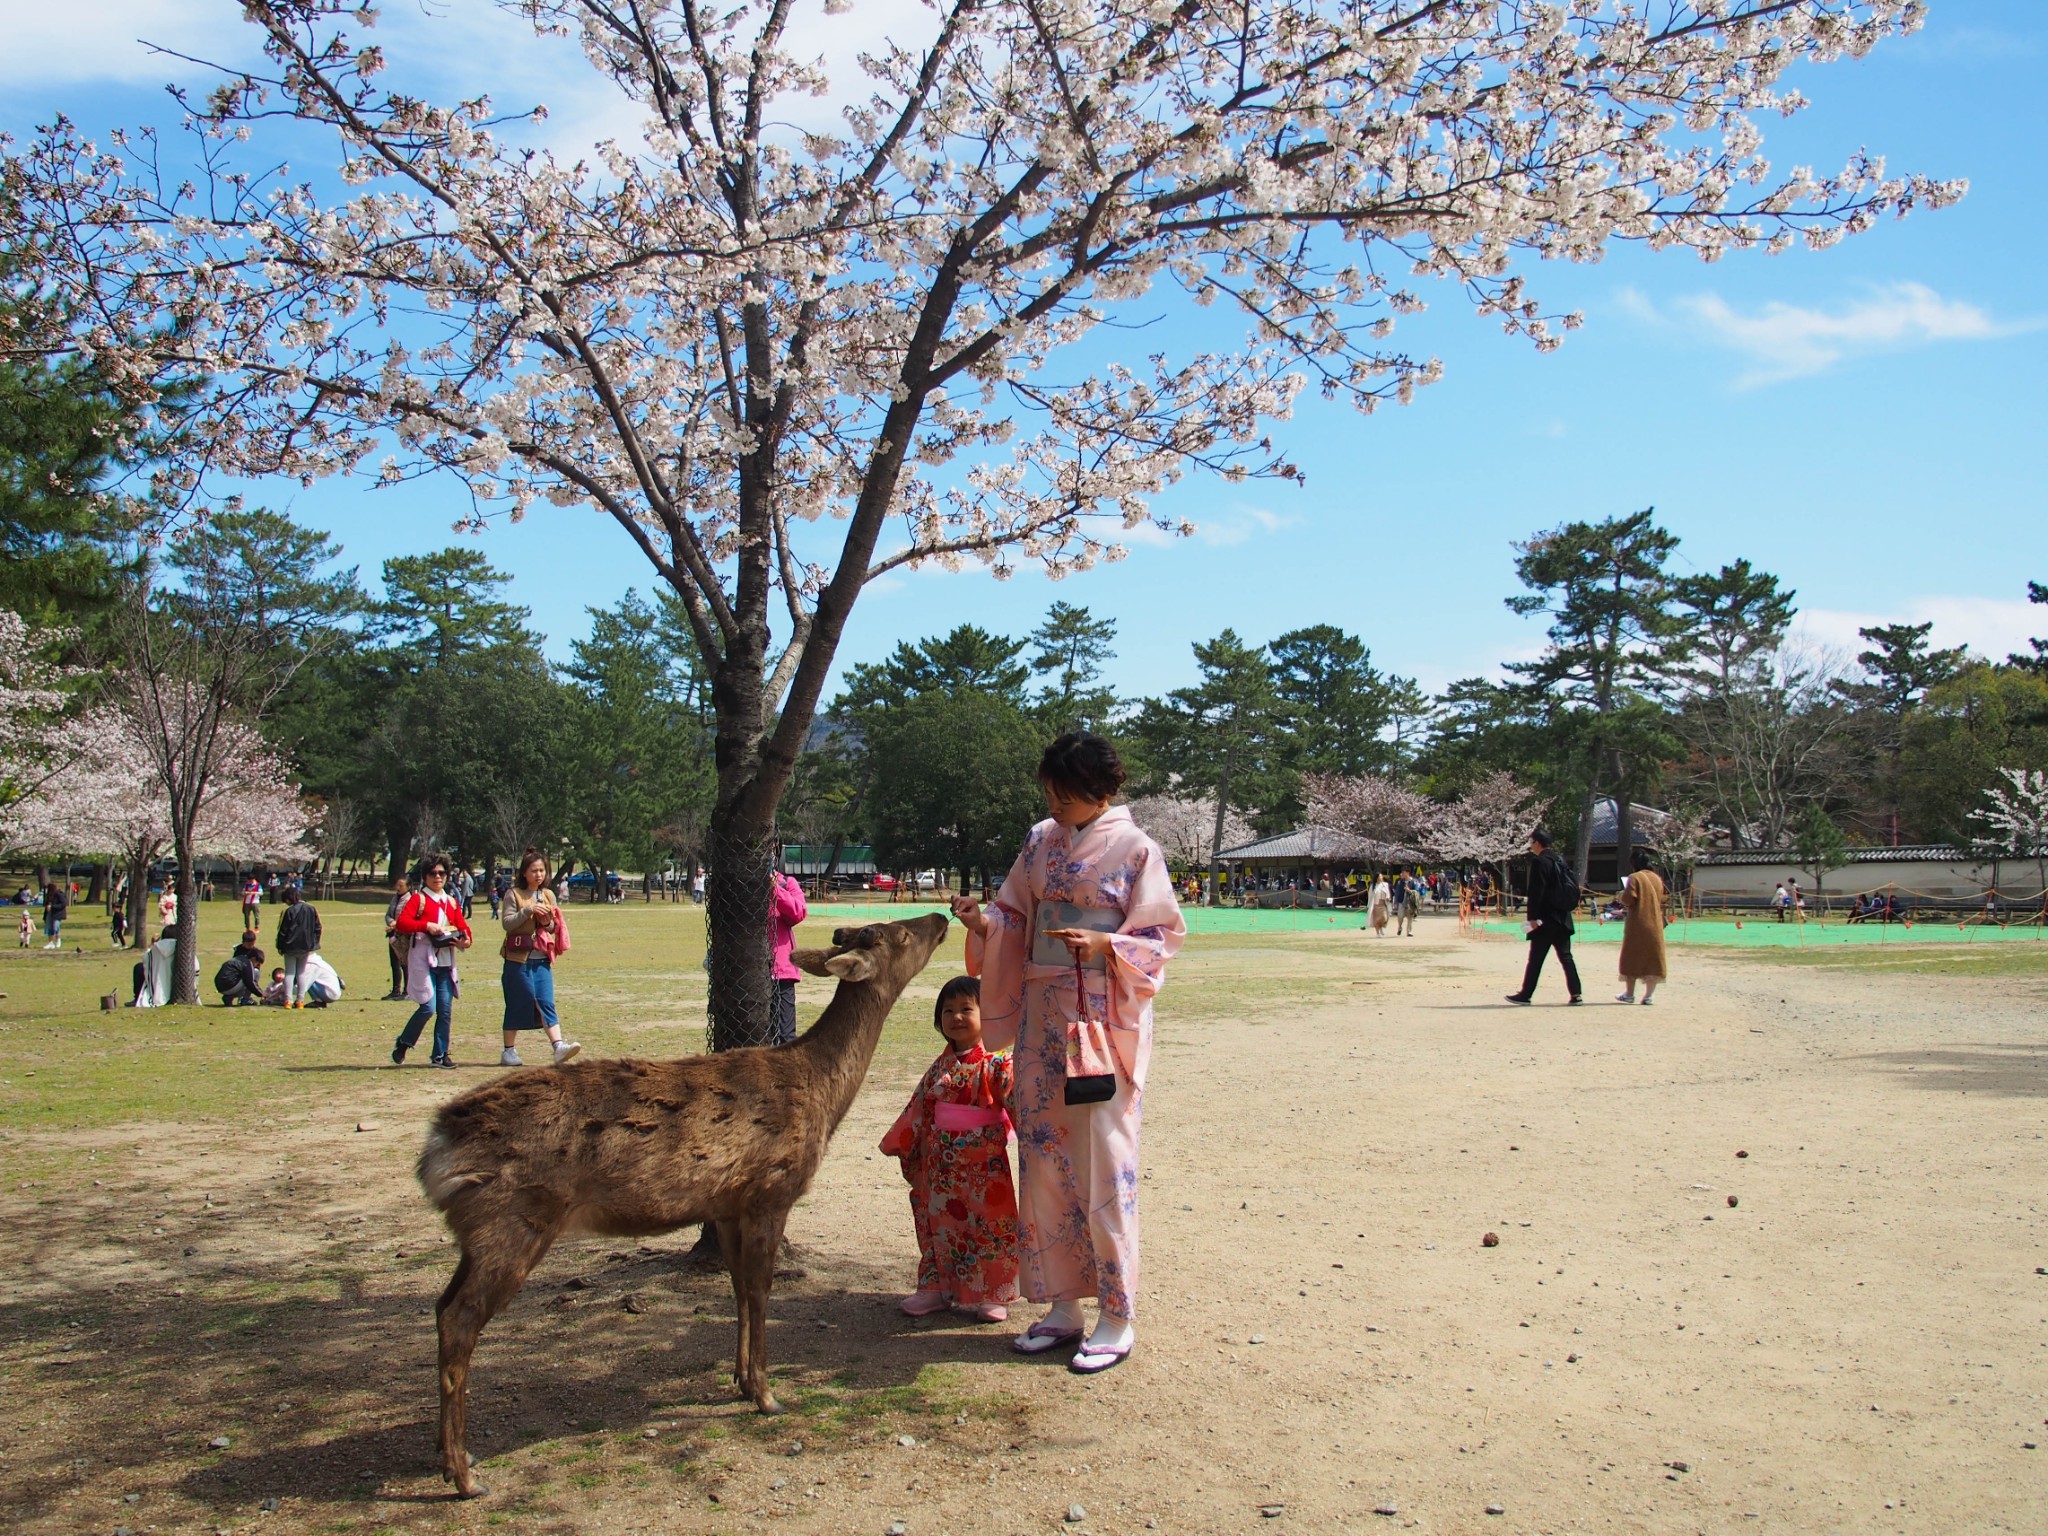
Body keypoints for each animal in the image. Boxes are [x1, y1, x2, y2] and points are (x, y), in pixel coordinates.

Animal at [421, 921, 958, 1499]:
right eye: (900, 935)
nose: (942, 916)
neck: (821, 1093)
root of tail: (436, 1149)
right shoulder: (771, 1190)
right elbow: (761, 1288)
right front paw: (767, 1395)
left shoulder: (726, 1203)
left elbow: (739, 1288)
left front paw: (740, 1381)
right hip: (514, 1219)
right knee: (460, 1318)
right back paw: (465, 1475)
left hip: (477, 1232)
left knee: (440, 1306)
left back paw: (449, 1456)